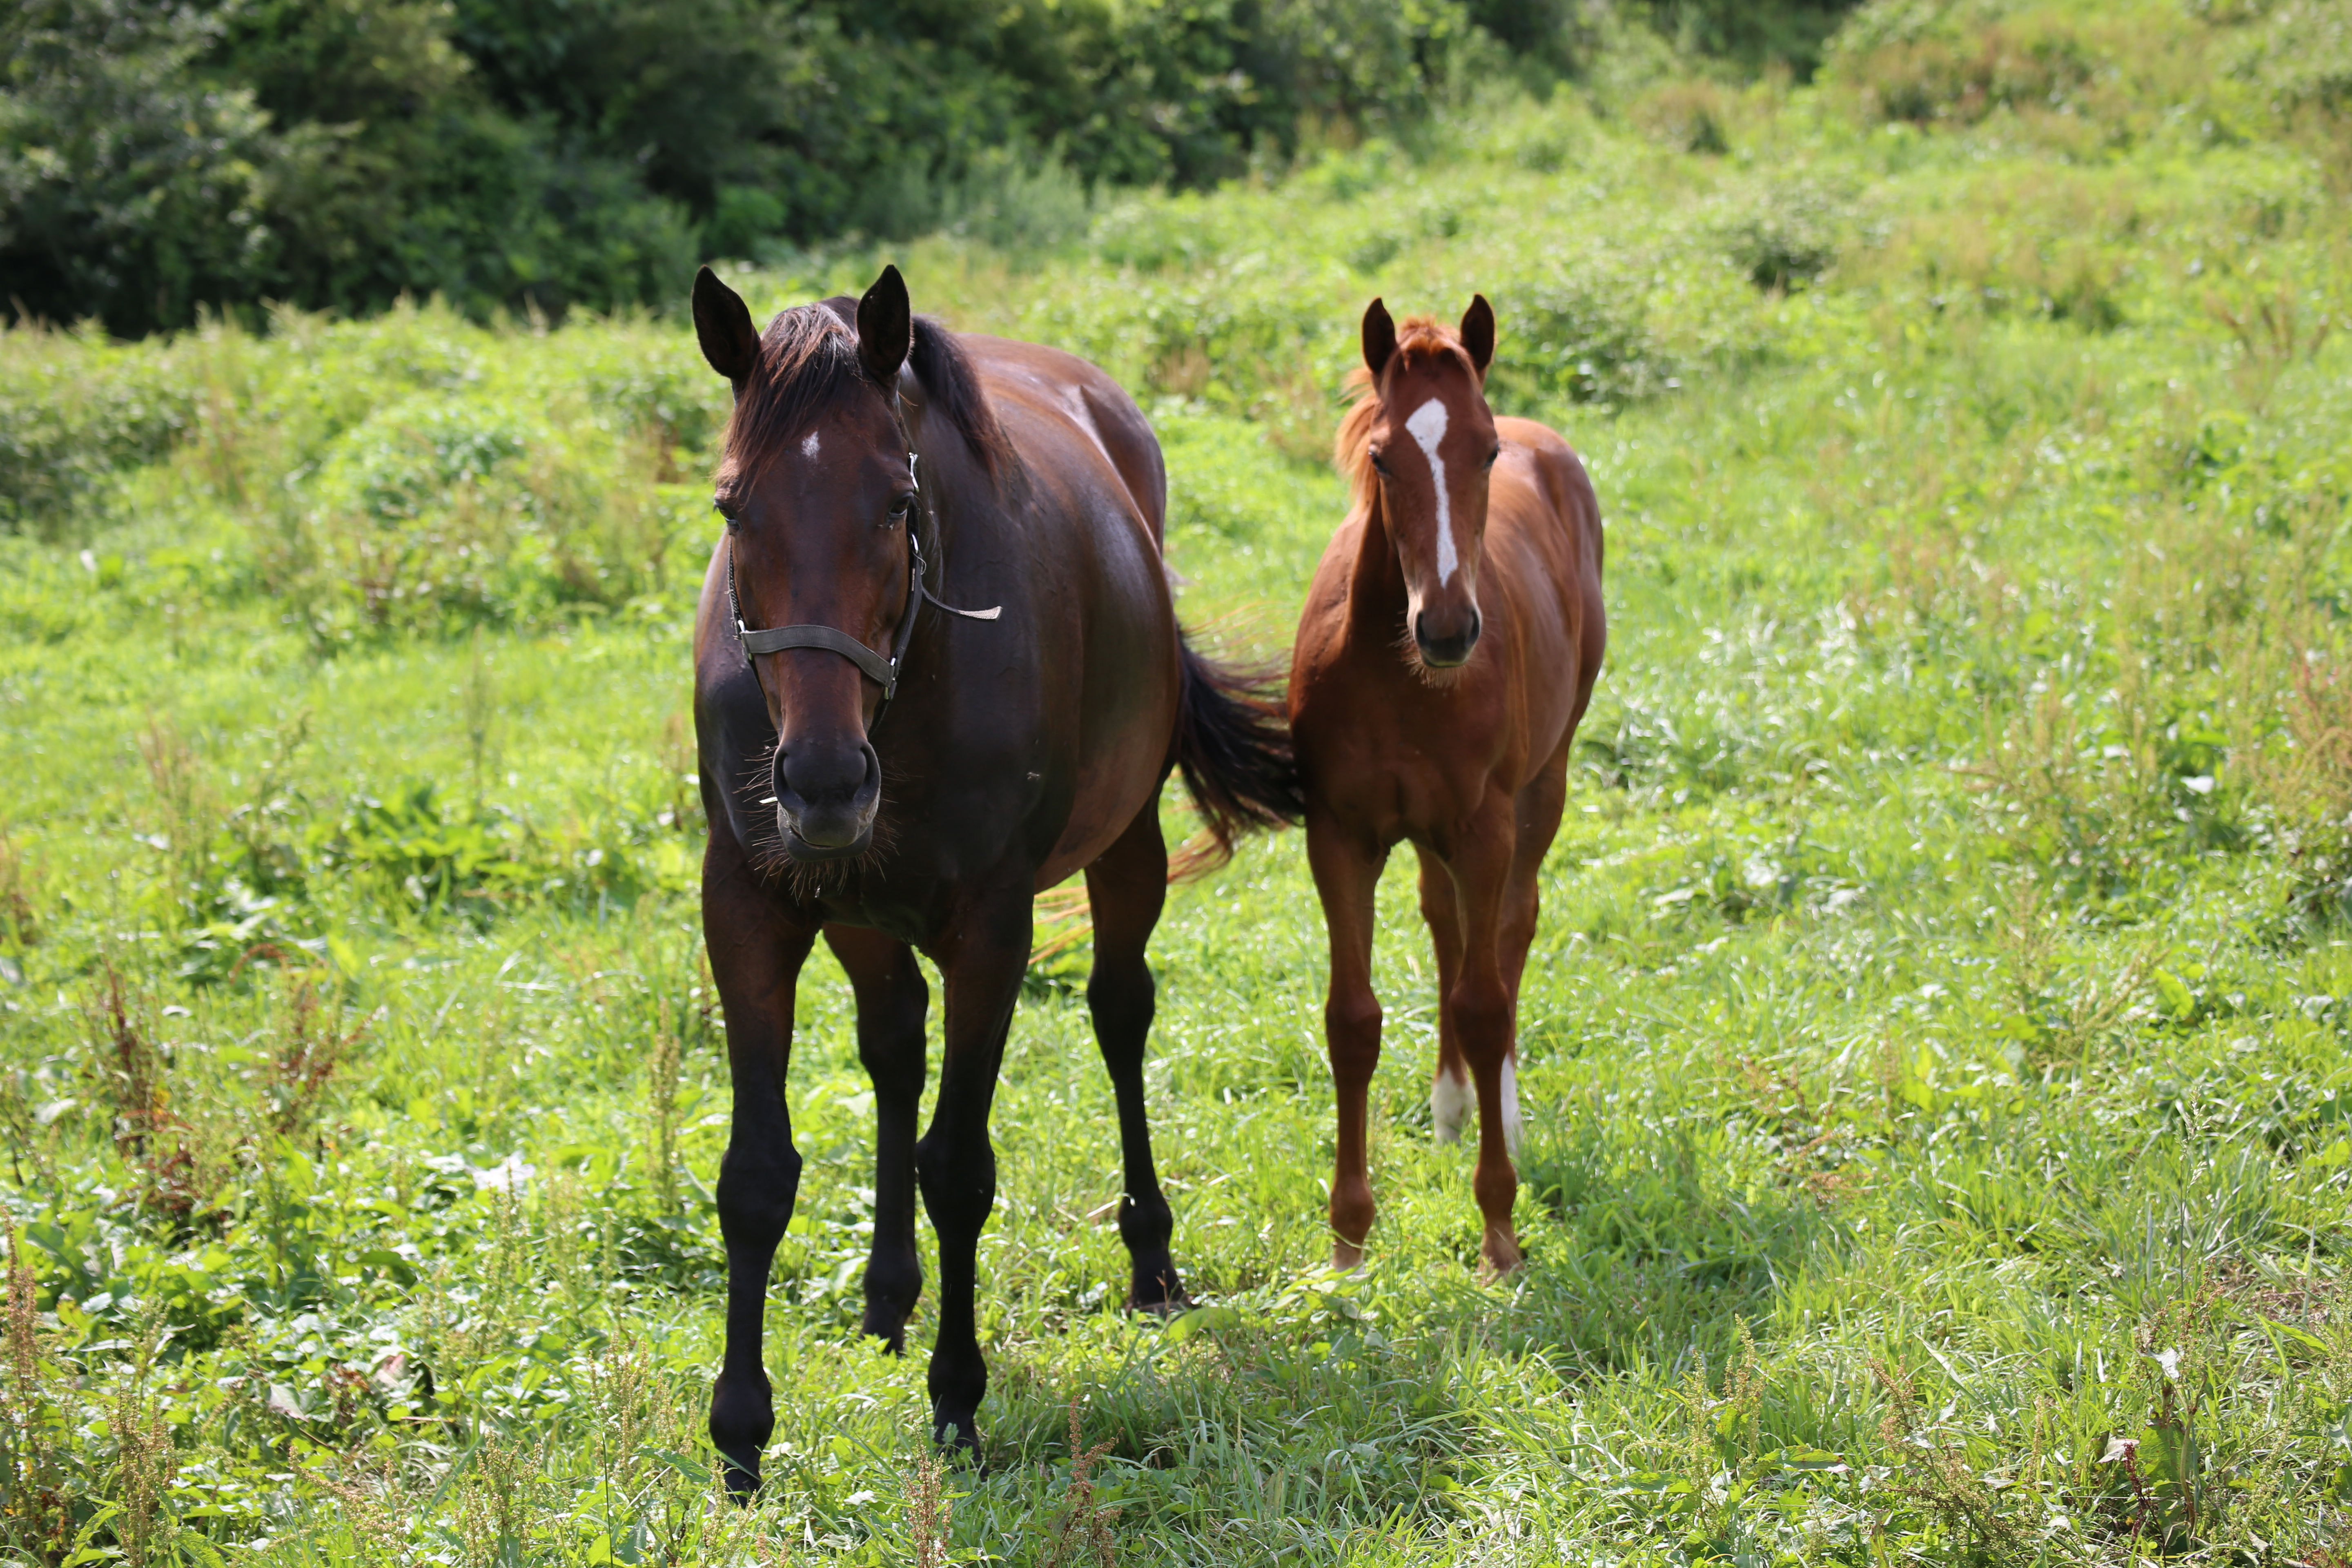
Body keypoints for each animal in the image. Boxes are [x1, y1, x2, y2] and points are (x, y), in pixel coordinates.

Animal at [686, 261, 1298, 1486]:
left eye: (895, 504)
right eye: (733, 508)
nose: (822, 782)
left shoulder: (992, 926)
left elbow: (960, 1168)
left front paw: (957, 1401)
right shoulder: (749, 905)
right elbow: (757, 1174)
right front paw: (740, 1436)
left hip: (1125, 845)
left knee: (1119, 1012)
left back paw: (1150, 1260)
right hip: (859, 912)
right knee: (893, 1049)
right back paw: (885, 1299)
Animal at [1289, 301, 1599, 1278]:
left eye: (1488, 451)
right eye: (1383, 456)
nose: (1451, 629)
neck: (1399, 677)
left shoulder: (1485, 826)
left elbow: (1485, 999)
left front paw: (1500, 1231)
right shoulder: (1339, 834)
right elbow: (1352, 1018)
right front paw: (1348, 1243)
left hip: (1544, 783)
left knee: (1507, 931)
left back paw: (1500, 1109)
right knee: (1446, 920)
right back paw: (1454, 1102)